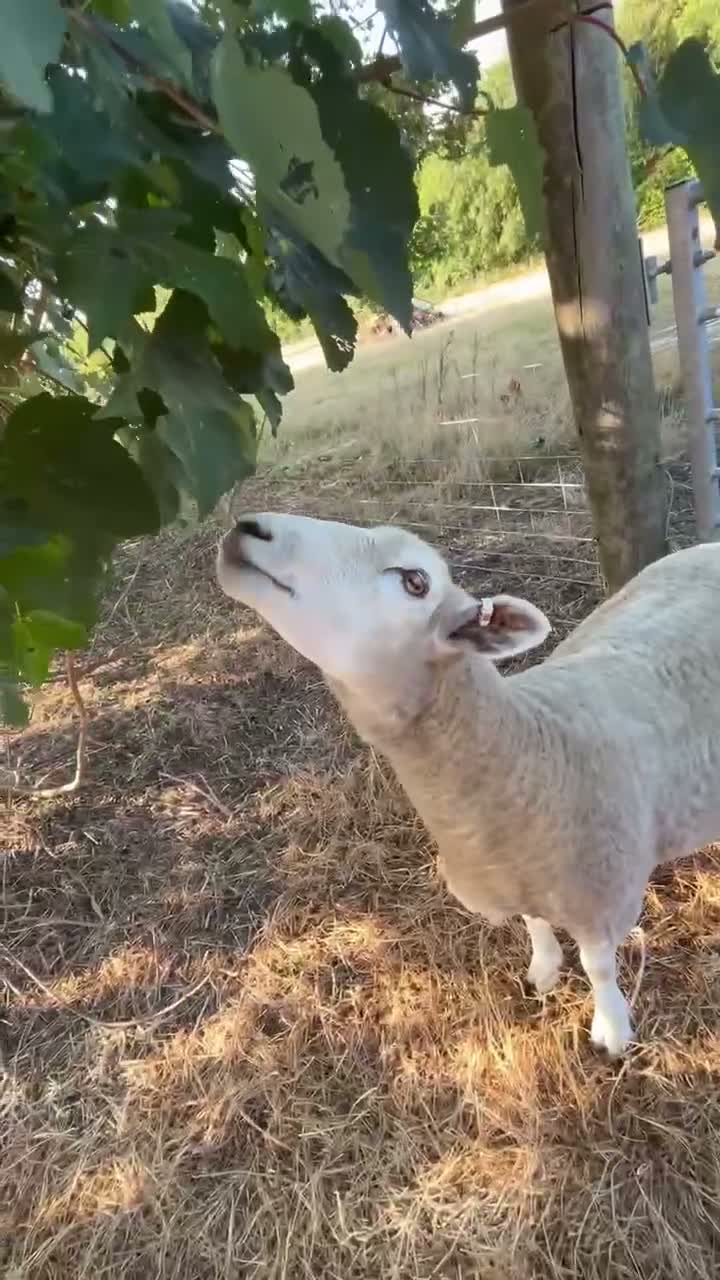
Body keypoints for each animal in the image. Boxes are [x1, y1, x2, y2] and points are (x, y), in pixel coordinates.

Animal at [216, 514, 720, 1055]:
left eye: (415, 582)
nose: (250, 527)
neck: (530, 756)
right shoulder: (511, 876)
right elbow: (533, 922)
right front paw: (544, 968)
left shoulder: (602, 895)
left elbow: (598, 967)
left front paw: (611, 1029)